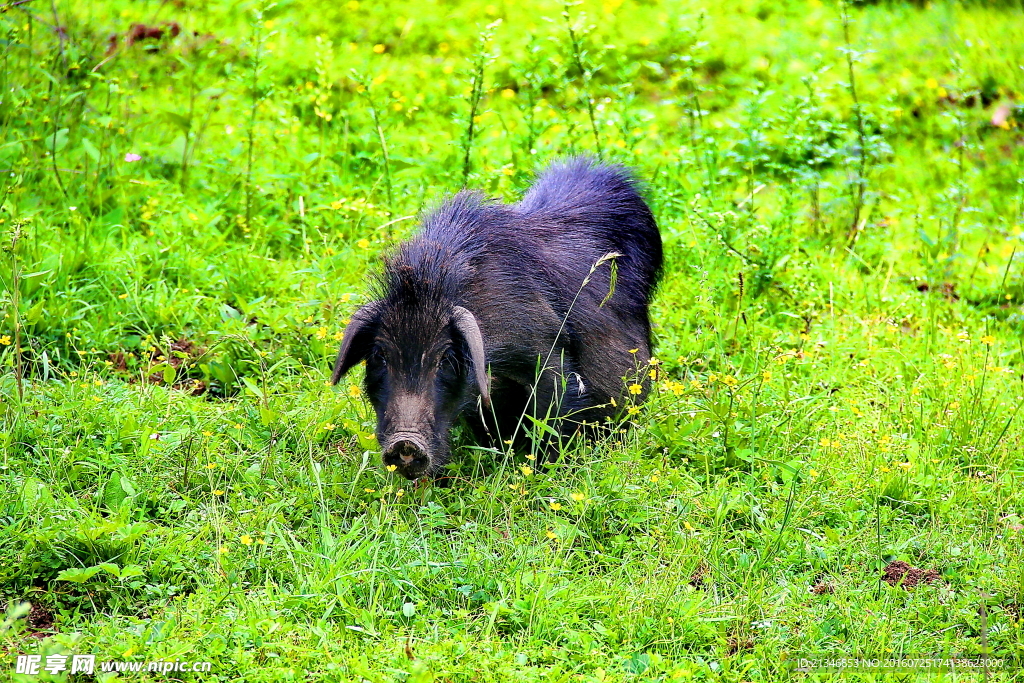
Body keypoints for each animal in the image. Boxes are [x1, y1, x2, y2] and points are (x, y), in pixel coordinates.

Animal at [331, 159, 659, 481]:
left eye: (445, 358)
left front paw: (542, 473)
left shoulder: (545, 351)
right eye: (379, 355)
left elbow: (554, 411)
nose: (405, 443)